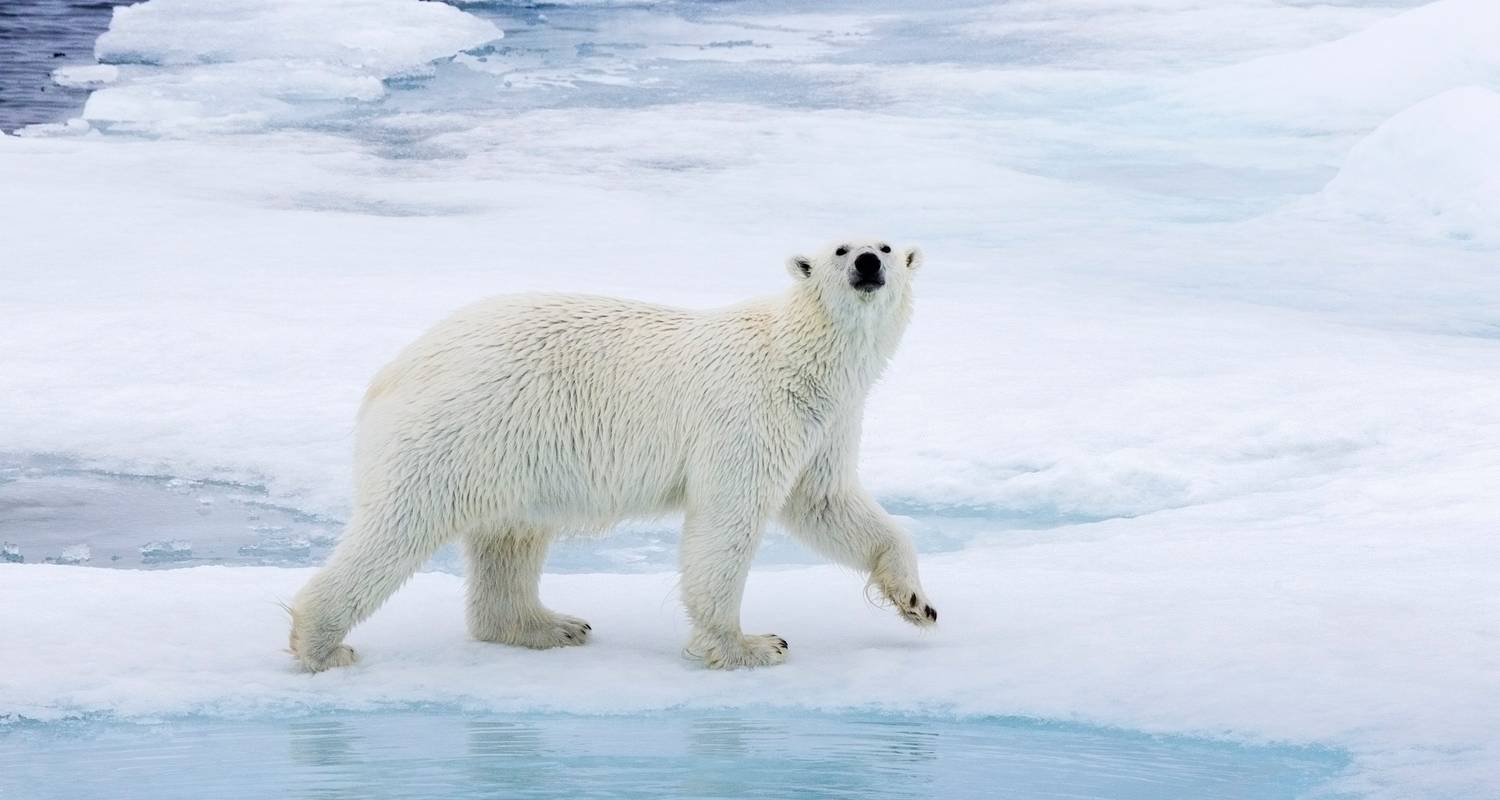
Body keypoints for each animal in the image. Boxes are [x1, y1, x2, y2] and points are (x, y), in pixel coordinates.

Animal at [286, 237, 930, 666]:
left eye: (886, 245)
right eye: (841, 247)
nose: (868, 263)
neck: (800, 356)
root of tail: (396, 367)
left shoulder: (826, 422)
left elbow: (826, 501)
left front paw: (916, 601)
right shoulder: (750, 413)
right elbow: (728, 520)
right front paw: (749, 644)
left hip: (511, 450)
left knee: (510, 539)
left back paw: (549, 625)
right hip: (460, 428)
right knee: (399, 526)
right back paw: (322, 644)